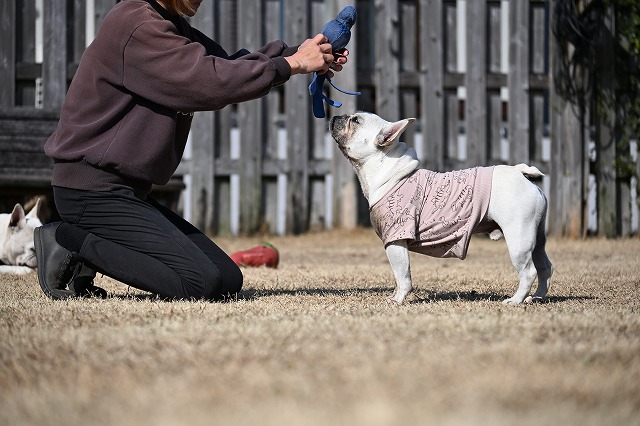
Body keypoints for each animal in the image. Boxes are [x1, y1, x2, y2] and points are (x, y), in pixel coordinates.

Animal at [329, 112, 553, 305]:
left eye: (355, 120)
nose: (336, 115)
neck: (388, 170)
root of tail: (519, 173)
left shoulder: (395, 240)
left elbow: (402, 275)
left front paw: (397, 300)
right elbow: (398, 276)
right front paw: (394, 296)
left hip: (518, 238)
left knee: (529, 272)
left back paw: (515, 300)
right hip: (536, 236)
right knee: (544, 267)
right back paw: (536, 297)